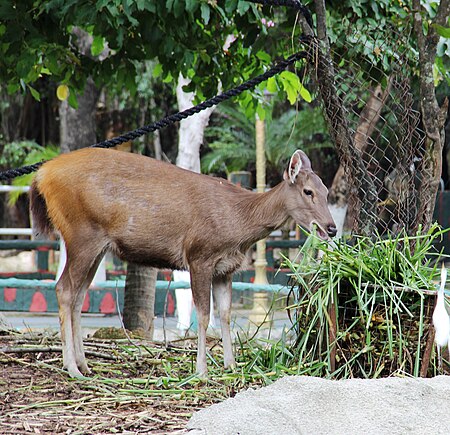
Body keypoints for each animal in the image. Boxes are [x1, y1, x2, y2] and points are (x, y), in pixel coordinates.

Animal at [29, 147, 336, 378]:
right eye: (308, 191)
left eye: (327, 191)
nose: (331, 228)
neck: (239, 225)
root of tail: (42, 175)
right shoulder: (199, 255)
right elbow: (204, 315)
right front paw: (202, 370)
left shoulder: (225, 269)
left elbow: (225, 314)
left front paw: (231, 365)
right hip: (81, 233)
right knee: (64, 289)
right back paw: (71, 367)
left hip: (98, 246)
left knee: (79, 295)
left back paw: (84, 364)